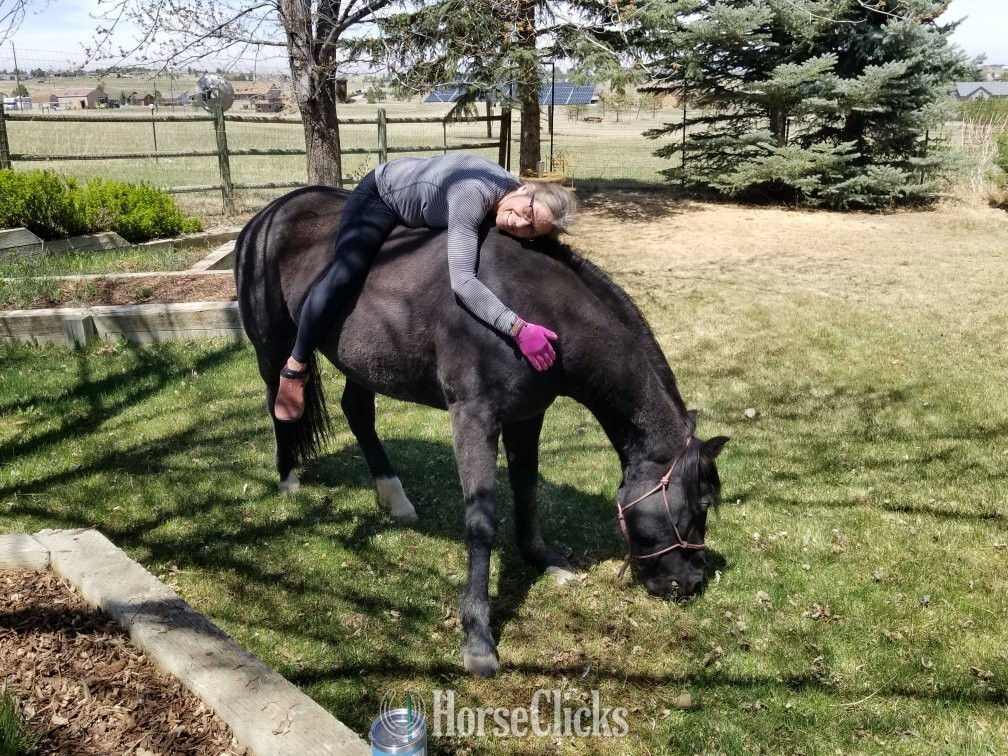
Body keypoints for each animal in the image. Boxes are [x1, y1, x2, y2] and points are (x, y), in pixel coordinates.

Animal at [234, 186, 729, 677]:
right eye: (701, 504)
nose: (691, 582)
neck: (530, 305)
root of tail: (267, 215)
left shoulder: (527, 417)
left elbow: (527, 489)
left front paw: (542, 558)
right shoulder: (473, 418)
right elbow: (481, 520)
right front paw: (477, 636)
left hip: (364, 362)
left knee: (357, 414)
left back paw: (395, 497)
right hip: (273, 347)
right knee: (279, 402)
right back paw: (288, 478)